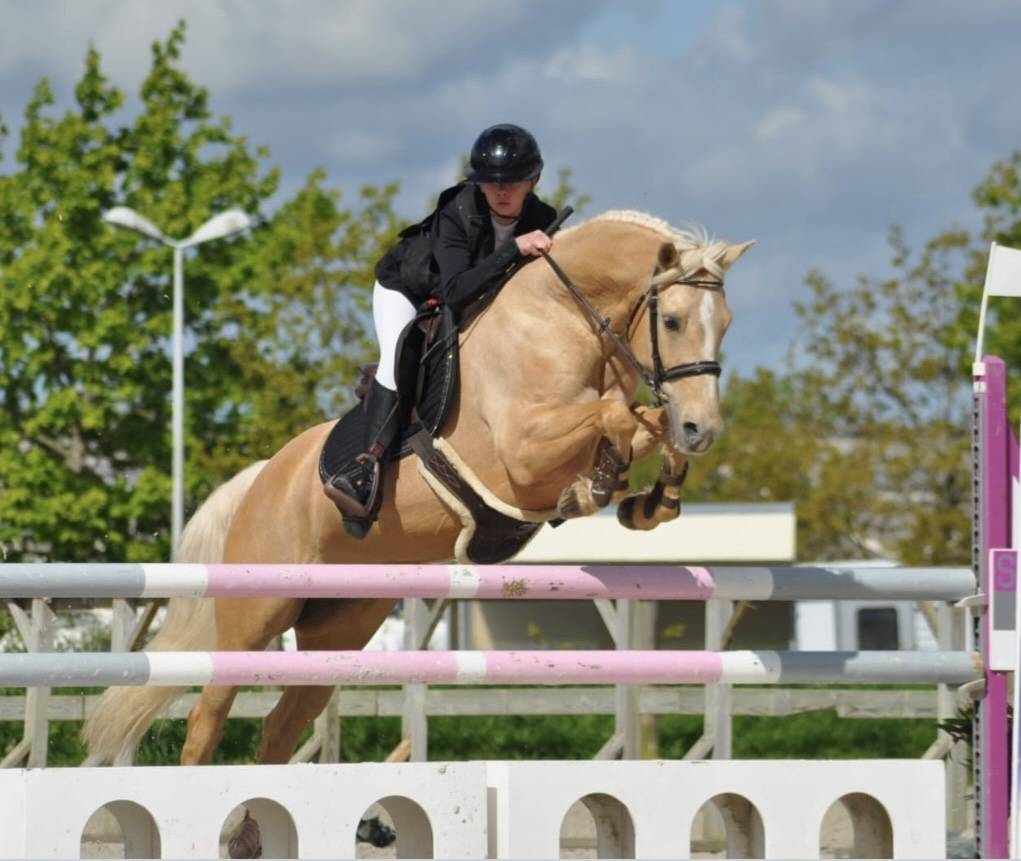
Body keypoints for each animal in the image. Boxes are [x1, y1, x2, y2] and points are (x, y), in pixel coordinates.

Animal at [82, 210, 753, 766]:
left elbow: (642, 425)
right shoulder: (521, 454)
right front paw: (599, 488)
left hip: (342, 626)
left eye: (726, 324)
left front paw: (652, 498)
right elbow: (613, 419)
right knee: (207, 718)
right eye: (672, 321)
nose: (706, 429)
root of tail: (261, 479)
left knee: (281, 725)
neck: (562, 319)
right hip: (256, 613)